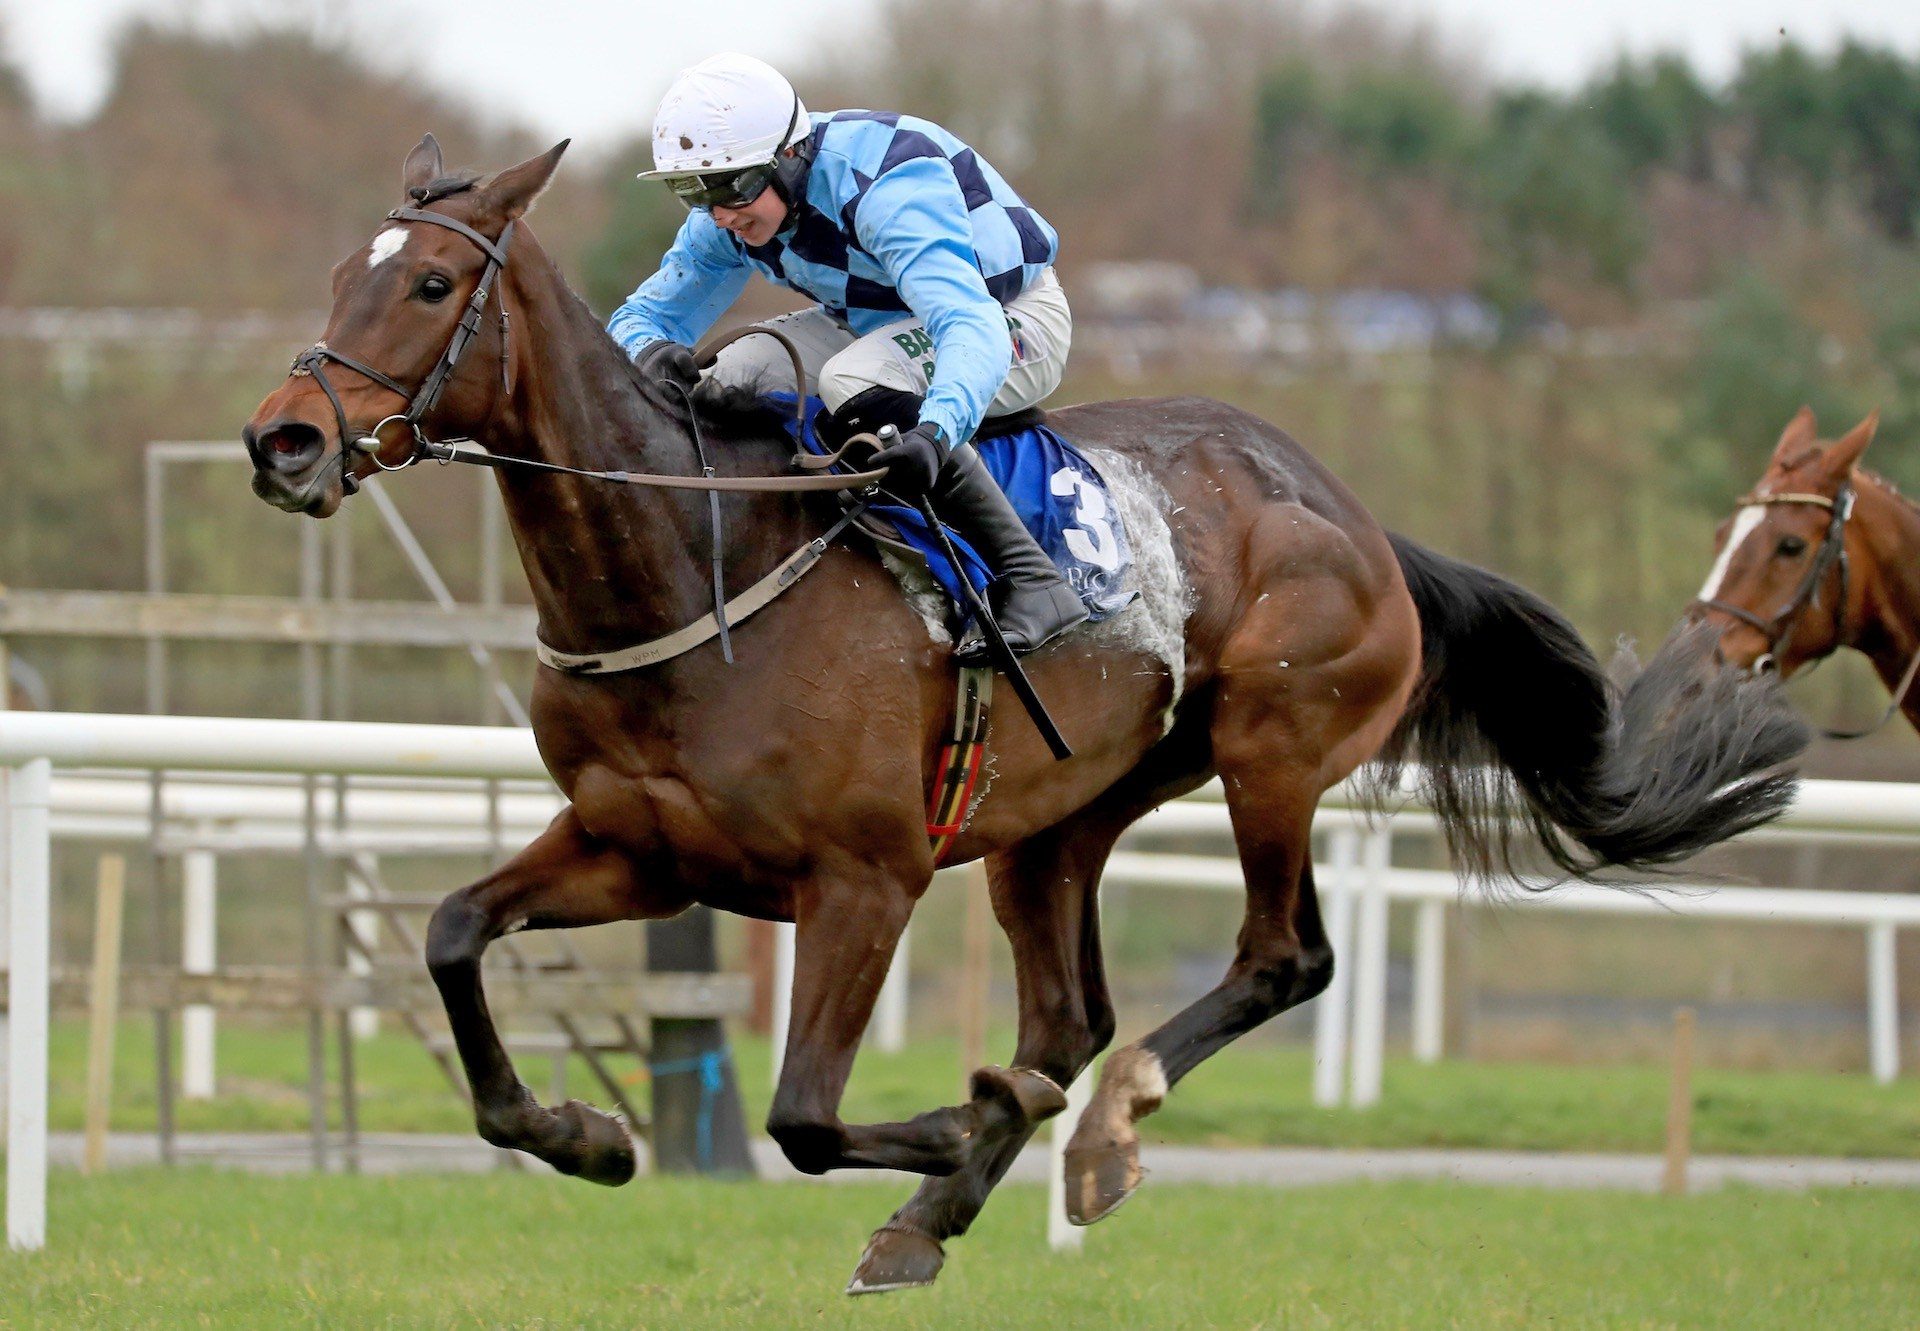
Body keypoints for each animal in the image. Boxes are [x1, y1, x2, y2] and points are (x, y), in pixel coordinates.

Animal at [243, 140, 1812, 1290]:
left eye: (431, 281)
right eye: (335, 274)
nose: (285, 439)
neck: (703, 559)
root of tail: (1358, 516)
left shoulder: (862, 876)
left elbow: (803, 1112)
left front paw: (963, 1114)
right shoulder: (640, 848)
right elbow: (453, 935)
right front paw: (581, 1134)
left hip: (1273, 747)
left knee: (1279, 957)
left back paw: (1096, 1127)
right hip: (1057, 815)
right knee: (1068, 1011)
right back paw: (941, 1205)